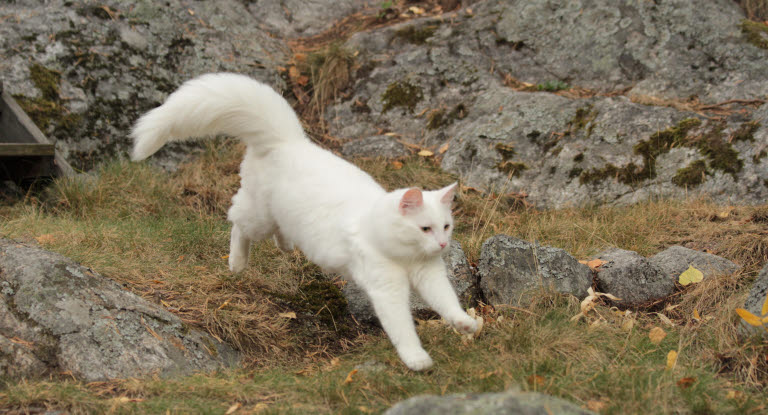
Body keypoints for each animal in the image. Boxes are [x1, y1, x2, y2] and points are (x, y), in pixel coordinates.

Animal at [133, 73, 480, 372]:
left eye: (446, 226)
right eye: (425, 228)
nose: (442, 244)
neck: (401, 252)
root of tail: (288, 141)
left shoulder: (430, 275)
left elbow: (448, 303)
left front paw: (465, 324)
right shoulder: (387, 289)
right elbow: (402, 328)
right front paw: (416, 359)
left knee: (273, 230)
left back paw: (285, 247)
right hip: (258, 215)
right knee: (237, 223)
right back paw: (237, 263)